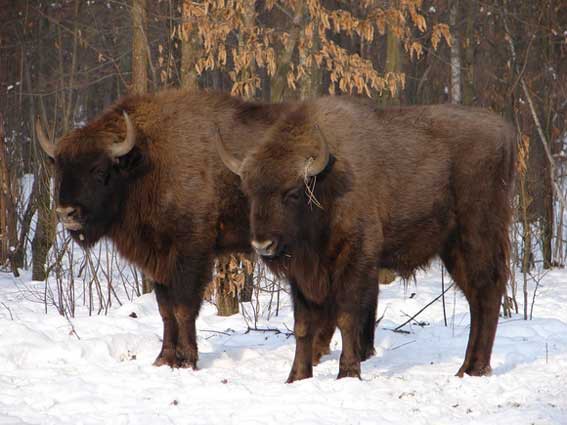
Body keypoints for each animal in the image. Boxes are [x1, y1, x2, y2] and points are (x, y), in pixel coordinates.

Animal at [215, 97, 516, 380]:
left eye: (292, 192)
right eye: (249, 192)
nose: (263, 245)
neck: (326, 183)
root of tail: (504, 131)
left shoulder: (355, 258)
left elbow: (347, 317)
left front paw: (348, 372)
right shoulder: (302, 276)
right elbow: (303, 325)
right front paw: (297, 377)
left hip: (477, 235)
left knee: (488, 292)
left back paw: (474, 368)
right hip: (452, 249)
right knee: (476, 299)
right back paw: (466, 368)